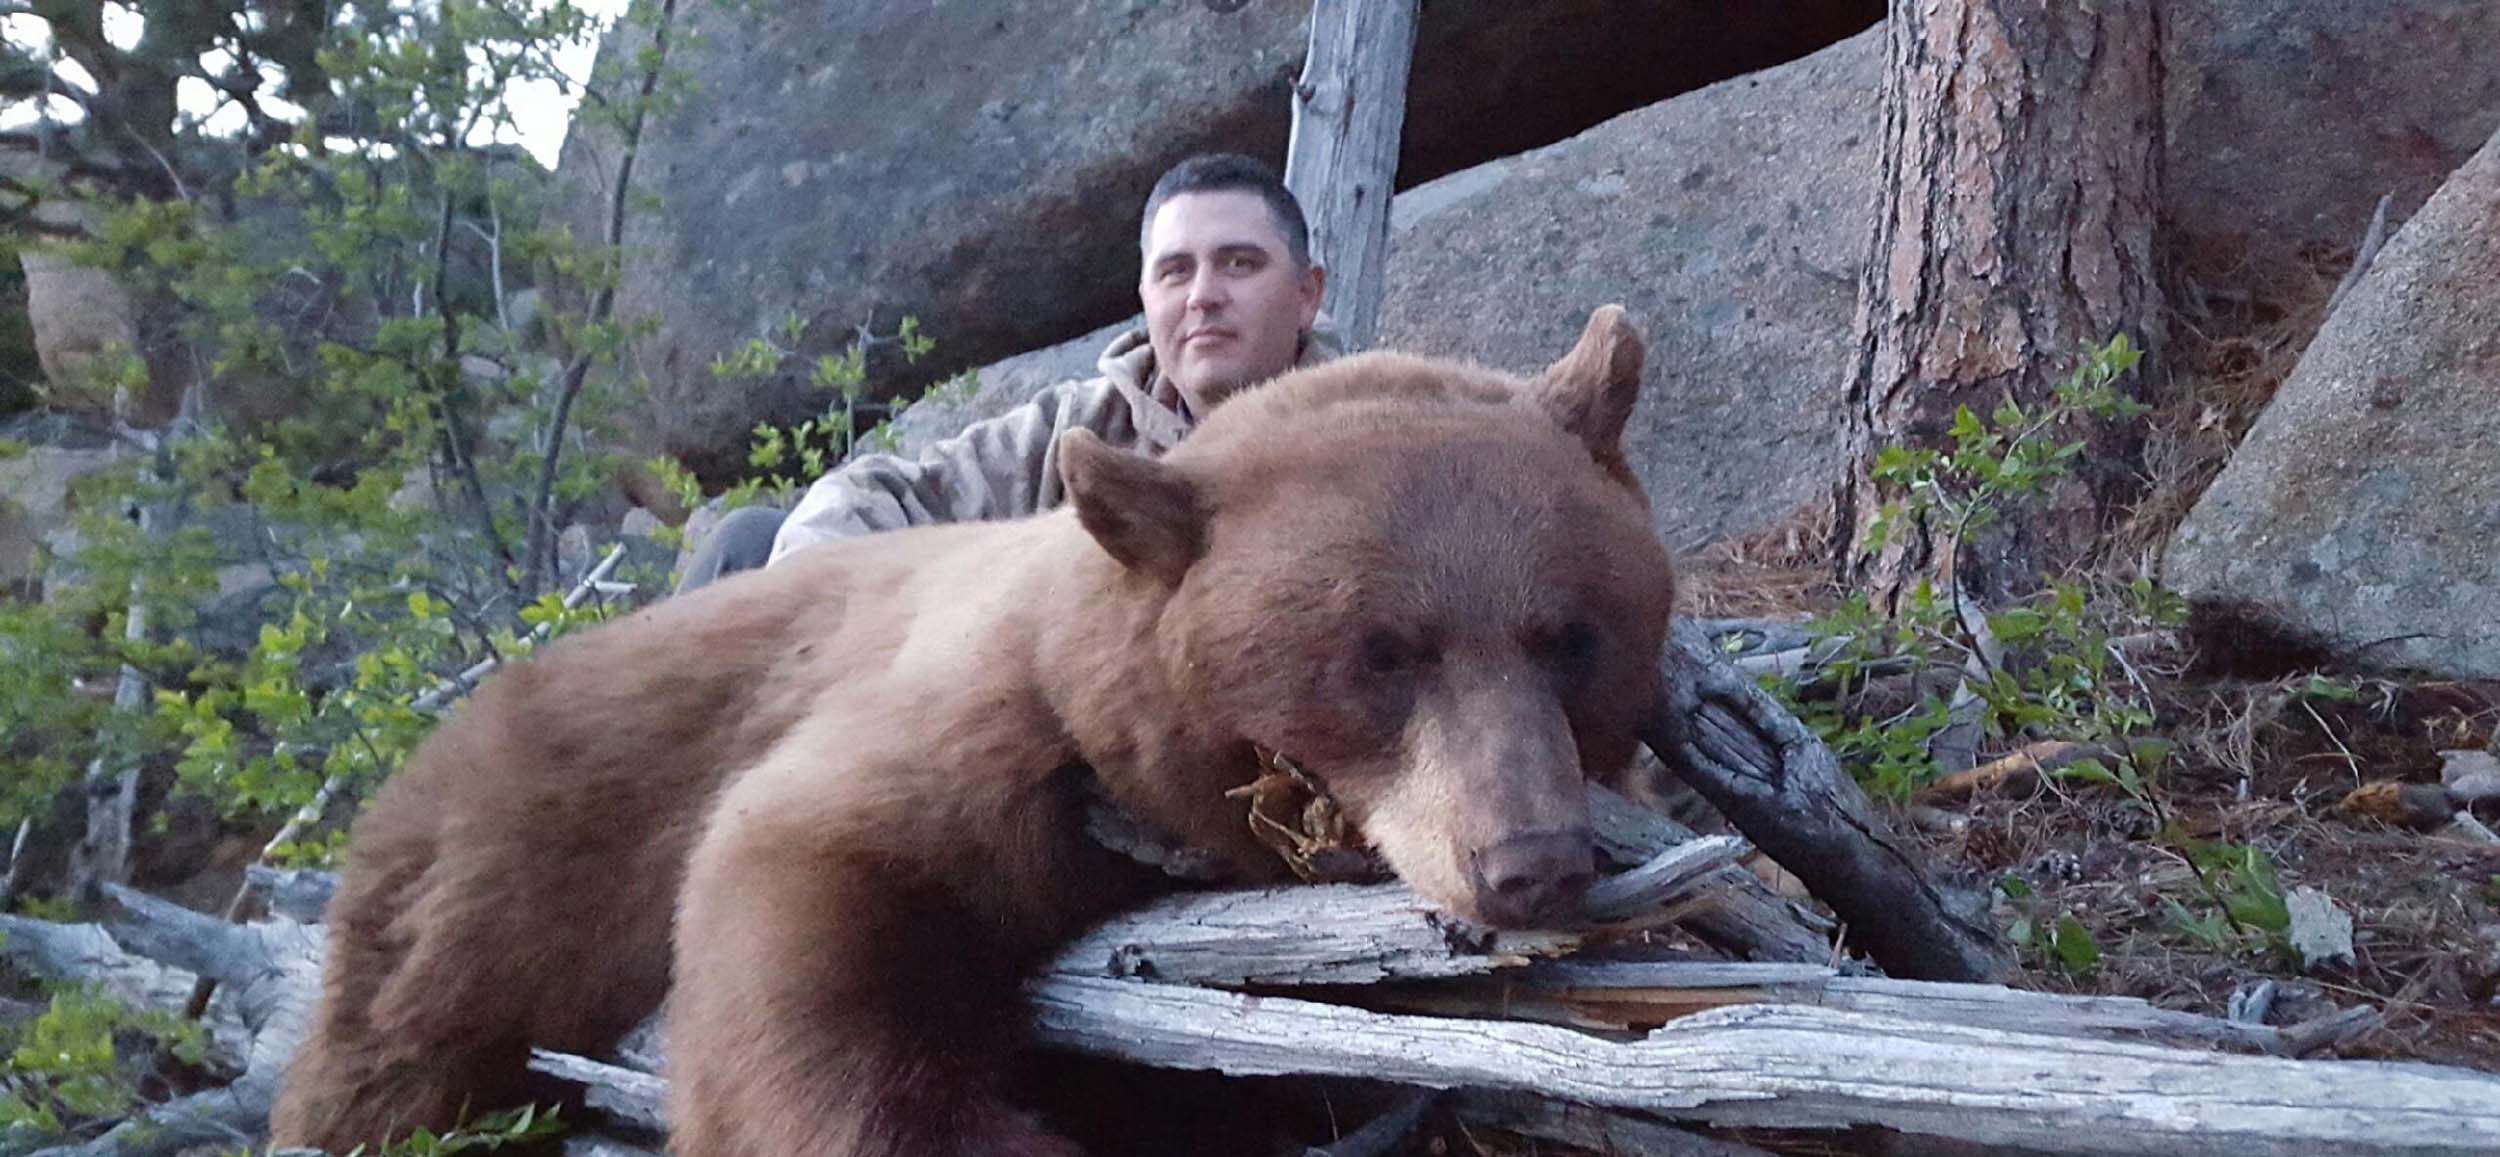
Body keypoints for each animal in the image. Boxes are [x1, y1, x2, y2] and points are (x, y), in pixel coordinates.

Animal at [268, 305, 1676, 1157]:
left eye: (1569, 636)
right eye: (1383, 652)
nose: (1531, 859)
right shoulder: (989, 736)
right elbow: (799, 886)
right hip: (493, 854)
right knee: (398, 1038)